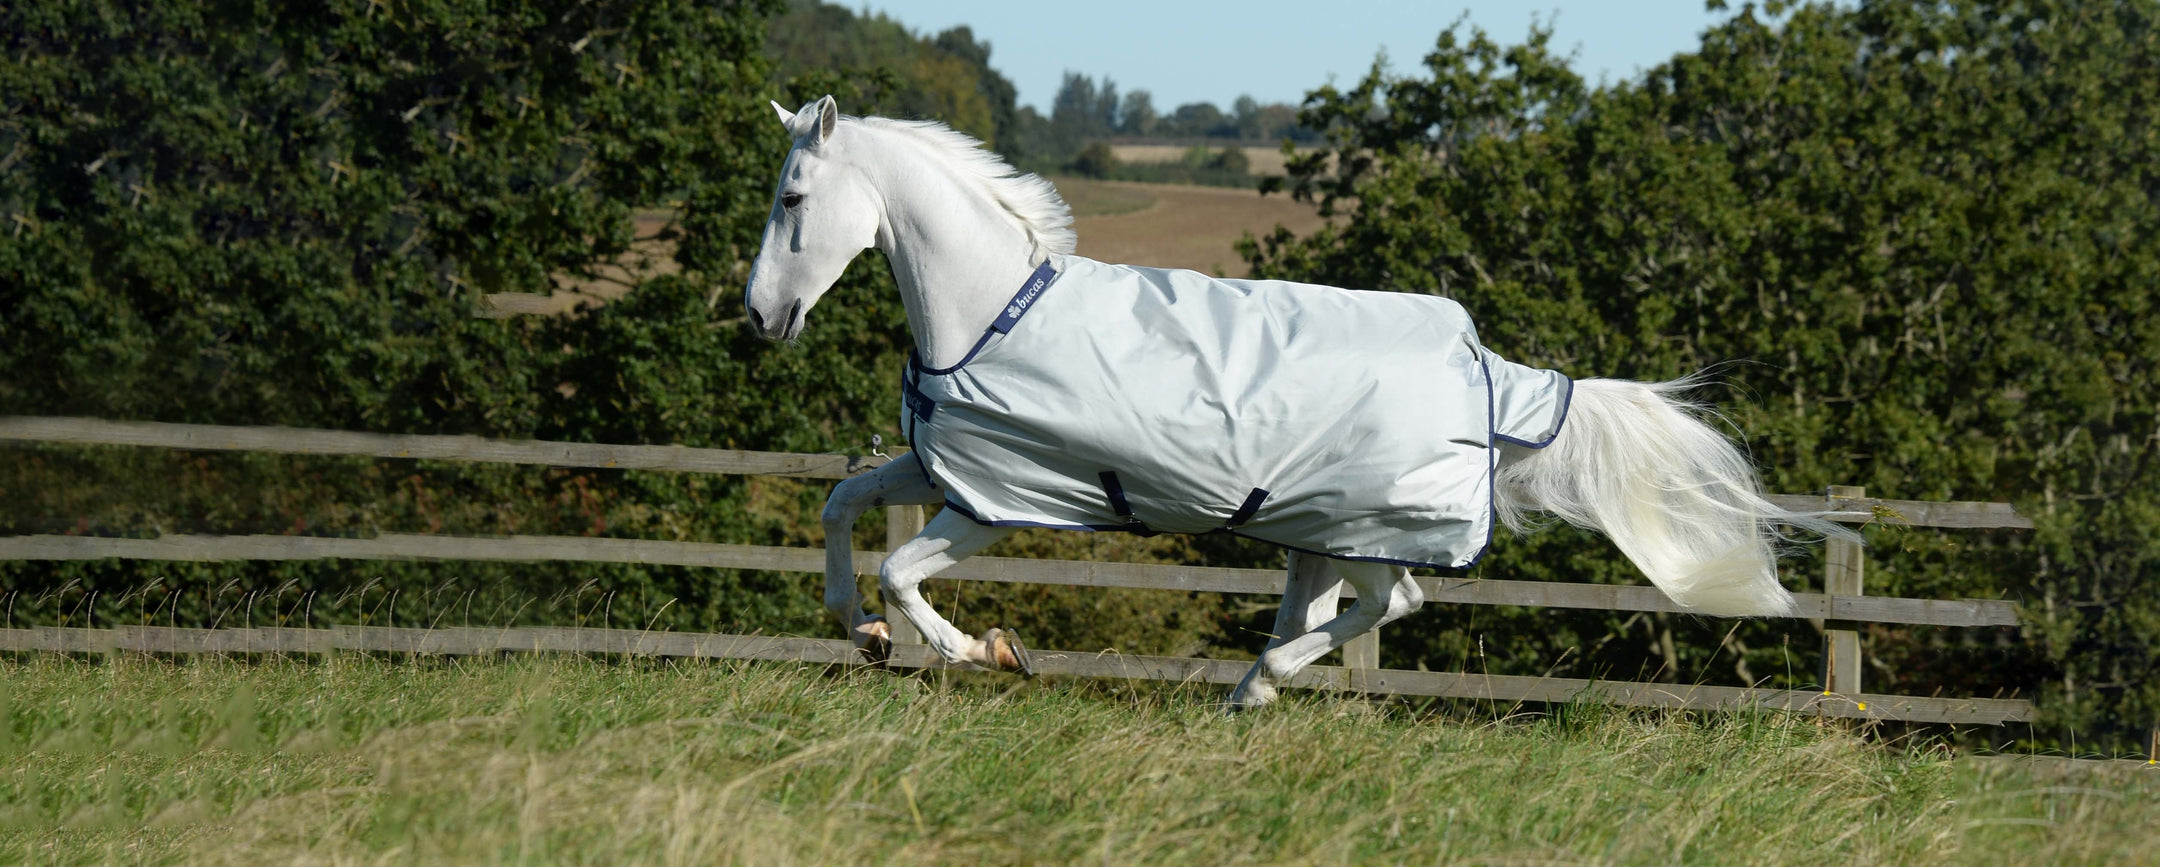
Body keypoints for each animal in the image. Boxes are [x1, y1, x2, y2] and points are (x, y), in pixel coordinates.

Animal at [747, 94, 1857, 704]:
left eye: (793, 198)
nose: (761, 316)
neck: (992, 310)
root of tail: (1491, 372)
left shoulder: (997, 501)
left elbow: (901, 568)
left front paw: (993, 651)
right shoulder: (941, 468)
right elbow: (840, 506)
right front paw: (861, 633)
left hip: (1368, 526)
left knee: (1394, 600)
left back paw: (1259, 683)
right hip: (1322, 527)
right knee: (1334, 605)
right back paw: (1252, 688)